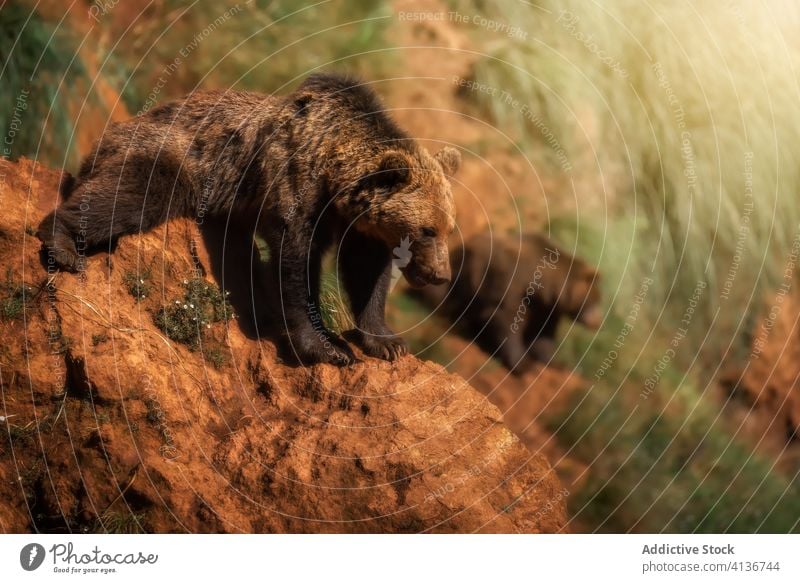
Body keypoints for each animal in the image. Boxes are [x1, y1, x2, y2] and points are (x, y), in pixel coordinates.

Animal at [39, 73, 462, 364]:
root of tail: (105, 136)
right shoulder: (296, 189)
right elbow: (294, 264)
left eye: (448, 230)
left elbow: (366, 273)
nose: (440, 275)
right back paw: (63, 244)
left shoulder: (359, 227)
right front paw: (326, 347)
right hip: (170, 153)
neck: (334, 178)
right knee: (130, 194)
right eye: (427, 229)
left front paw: (387, 341)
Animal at [412, 232, 600, 374]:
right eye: (595, 300)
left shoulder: (547, 309)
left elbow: (544, 335)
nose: (596, 322)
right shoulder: (510, 282)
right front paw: (523, 365)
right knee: (439, 294)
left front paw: (557, 363)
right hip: (458, 273)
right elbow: (506, 318)